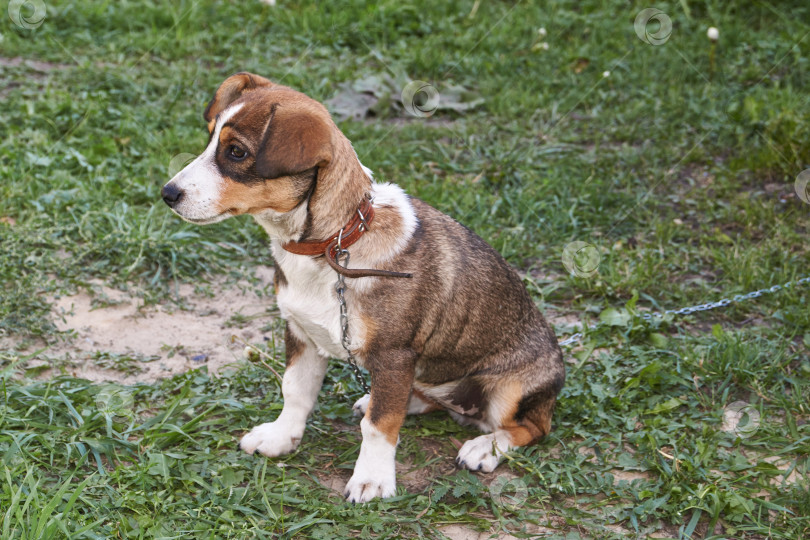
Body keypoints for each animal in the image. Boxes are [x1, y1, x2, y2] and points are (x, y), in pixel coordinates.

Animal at [158, 71, 560, 502]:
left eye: (235, 152)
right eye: (210, 140)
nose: (167, 194)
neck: (332, 244)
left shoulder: (394, 355)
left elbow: (380, 425)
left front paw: (372, 479)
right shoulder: (301, 332)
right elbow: (295, 391)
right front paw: (281, 438)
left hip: (511, 389)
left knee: (530, 427)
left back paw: (484, 447)